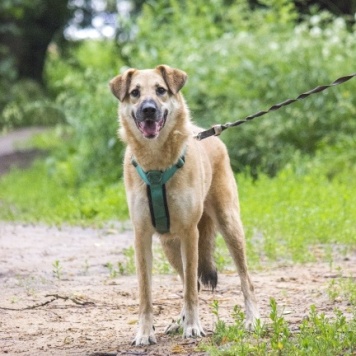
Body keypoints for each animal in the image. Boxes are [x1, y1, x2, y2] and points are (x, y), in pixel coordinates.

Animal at [110, 65, 260, 346]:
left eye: (161, 90)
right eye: (135, 93)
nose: (149, 109)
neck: (156, 165)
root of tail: (208, 133)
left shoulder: (191, 233)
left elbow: (191, 288)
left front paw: (192, 326)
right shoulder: (142, 236)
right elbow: (146, 292)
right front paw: (145, 332)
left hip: (229, 226)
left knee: (244, 279)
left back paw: (252, 319)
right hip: (170, 244)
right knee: (192, 282)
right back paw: (176, 322)